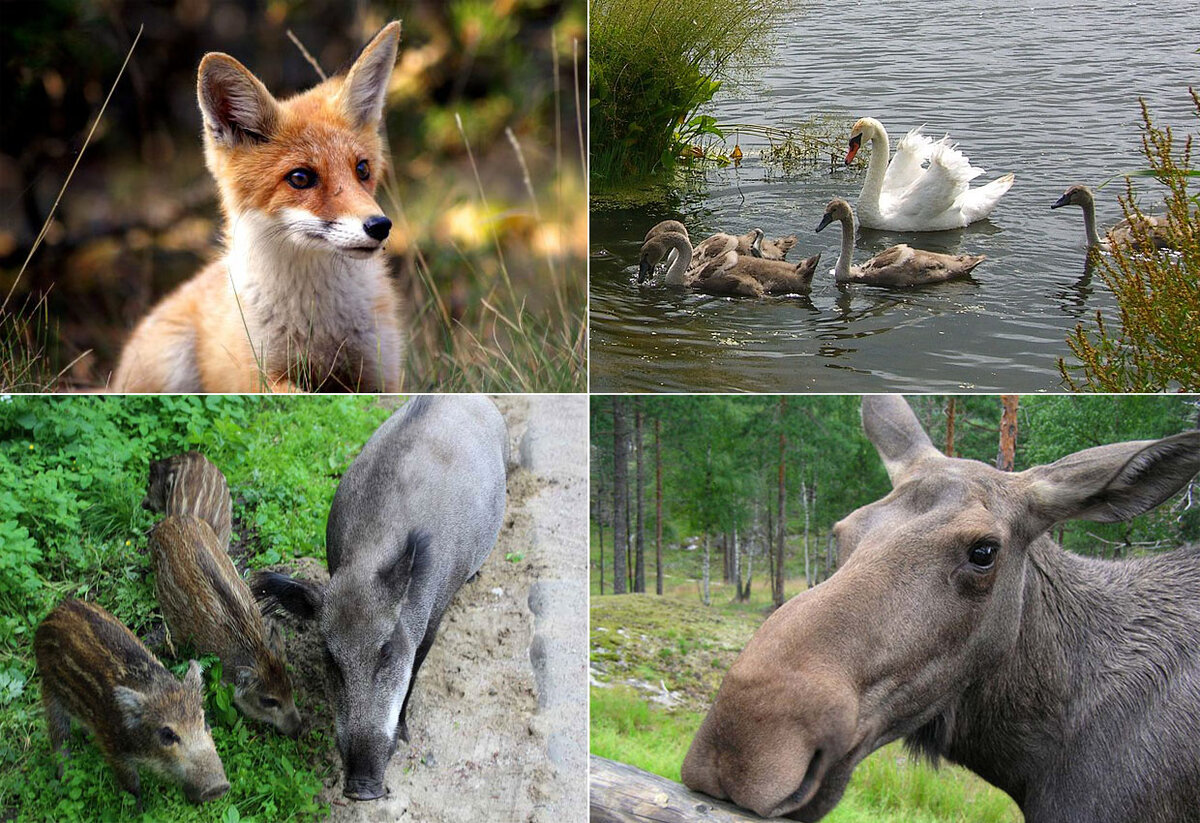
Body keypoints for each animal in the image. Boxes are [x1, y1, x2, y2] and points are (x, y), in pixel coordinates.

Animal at [115, 20, 410, 391]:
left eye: (363, 170)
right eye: (300, 178)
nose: (379, 226)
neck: (318, 326)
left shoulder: (381, 374)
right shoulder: (261, 377)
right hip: (172, 365)